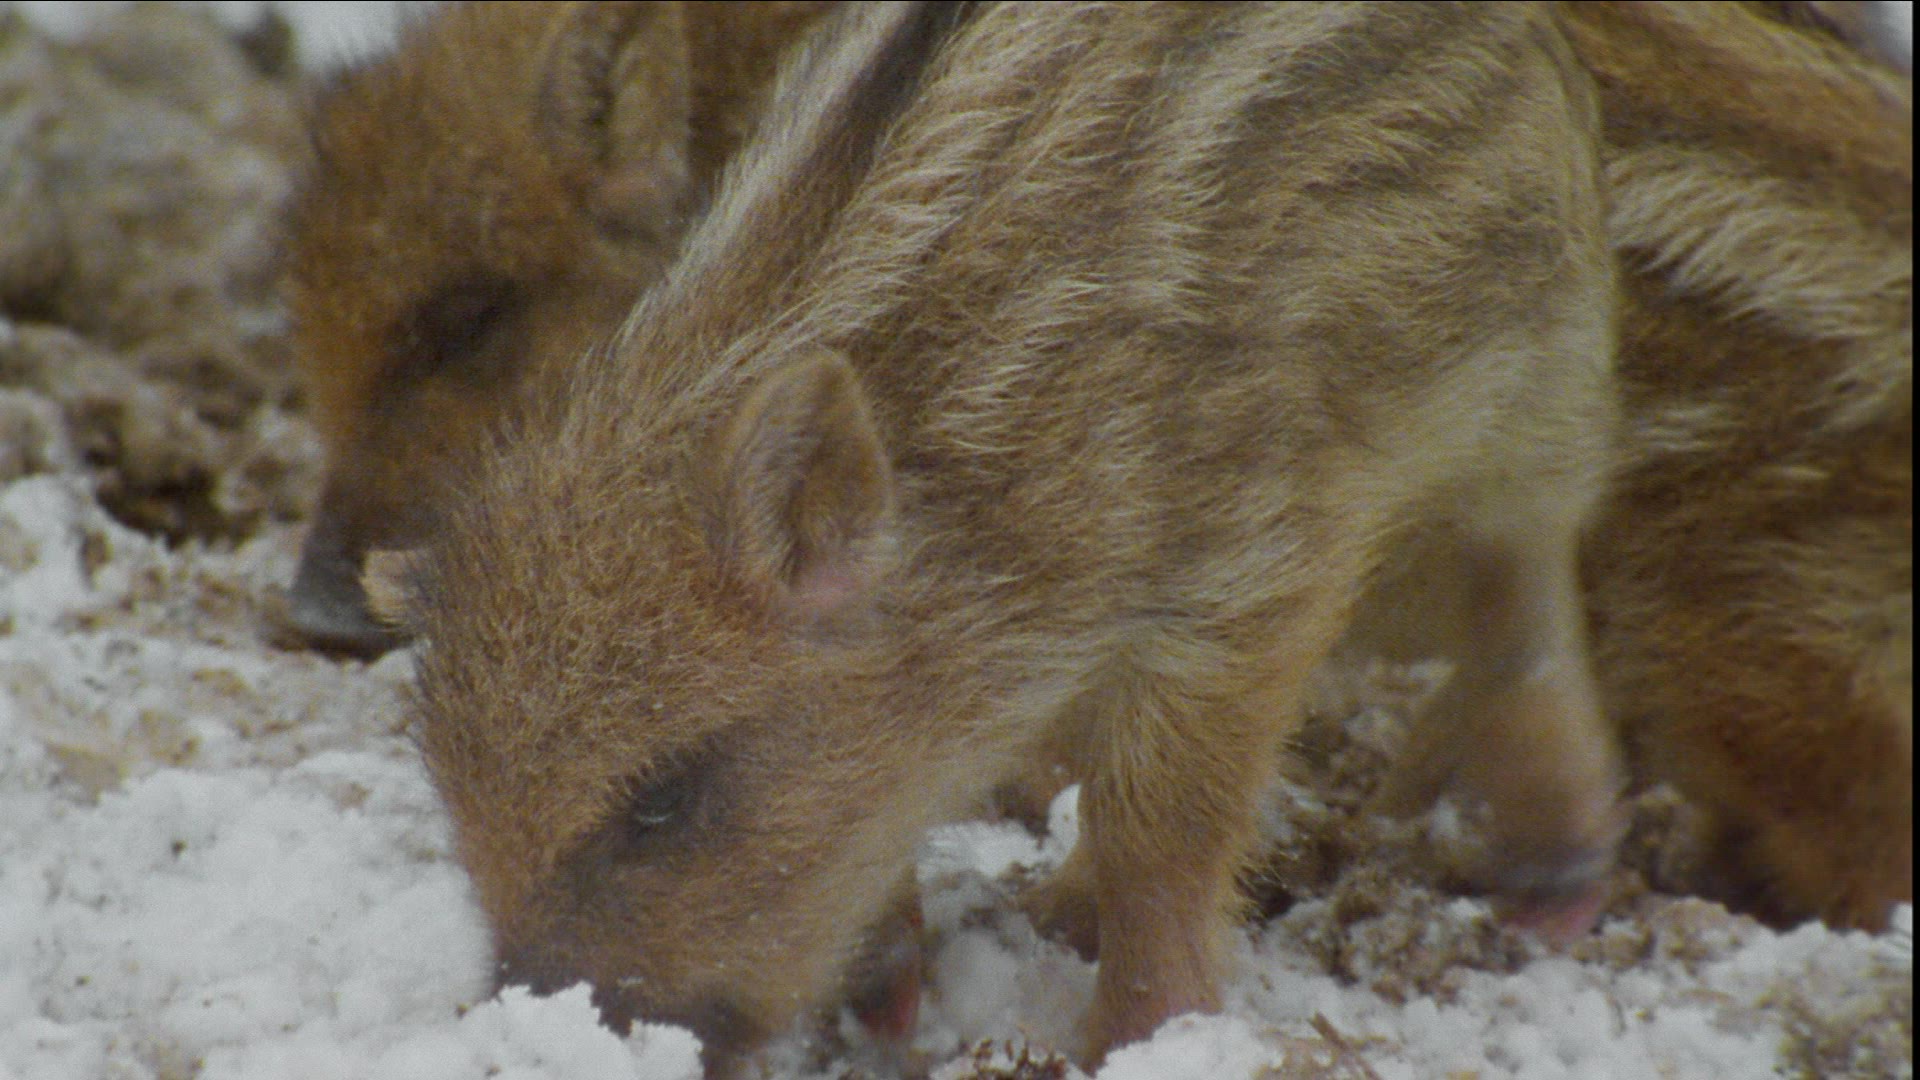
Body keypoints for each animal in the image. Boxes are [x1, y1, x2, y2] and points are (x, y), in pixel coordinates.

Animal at [379, 2, 1623, 1069]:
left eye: (662, 800)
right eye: (456, 804)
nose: (557, 1029)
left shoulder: (1251, 566)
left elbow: (1160, 825)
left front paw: (1136, 1040)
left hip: (1548, 377)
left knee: (1524, 591)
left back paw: (1556, 883)